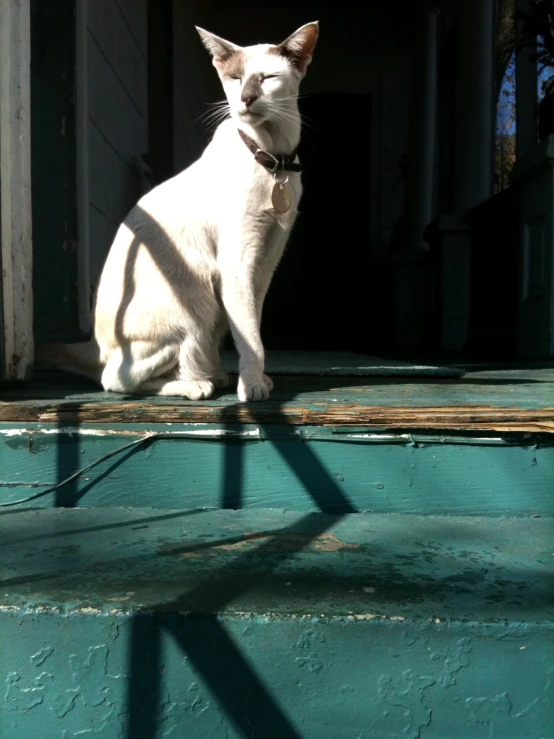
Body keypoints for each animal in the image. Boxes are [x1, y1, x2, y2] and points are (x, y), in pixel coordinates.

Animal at [36, 23, 316, 402]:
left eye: (267, 78)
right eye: (235, 79)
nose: (246, 98)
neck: (274, 157)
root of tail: (92, 344)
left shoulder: (266, 261)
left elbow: (253, 327)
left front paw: (259, 380)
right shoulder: (239, 263)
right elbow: (250, 339)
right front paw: (253, 389)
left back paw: (216, 376)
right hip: (196, 307)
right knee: (116, 379)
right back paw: (199, 385)